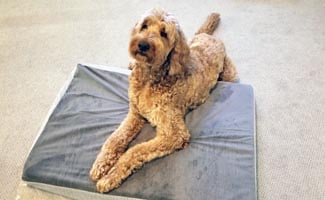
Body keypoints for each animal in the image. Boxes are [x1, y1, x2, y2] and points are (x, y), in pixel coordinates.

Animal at [90, 8, 237, 193]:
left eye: (164, 33)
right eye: (144, 26)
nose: (143, 45)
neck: (149, 79)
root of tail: (208, 35)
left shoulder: (174, 133)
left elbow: (135, 150)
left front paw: (111, 176)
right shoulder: (135, 114)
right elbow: (115, 138)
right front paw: (101, 164)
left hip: (230, 74)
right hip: (193, 42)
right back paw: (131, 64)